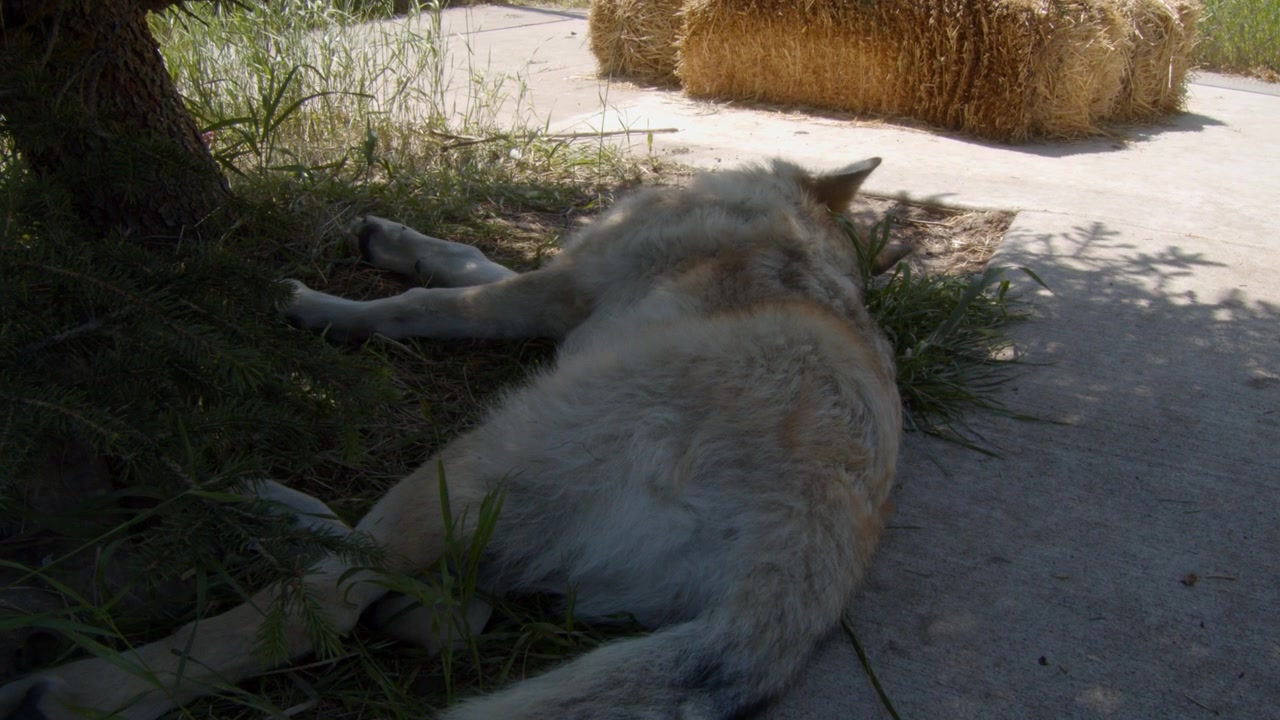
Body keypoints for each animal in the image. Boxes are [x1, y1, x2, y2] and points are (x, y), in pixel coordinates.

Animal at [0, 158, 907, 720]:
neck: (793, 219)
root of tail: (800, 571)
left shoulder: (550, 292)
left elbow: (423, 305)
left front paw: (317, 306)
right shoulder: (547, 295)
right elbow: (468, 257)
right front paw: (391, 243)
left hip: (475, 464)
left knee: (325, 607)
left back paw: (79, 689)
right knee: (447, 610)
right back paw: (274, 506)